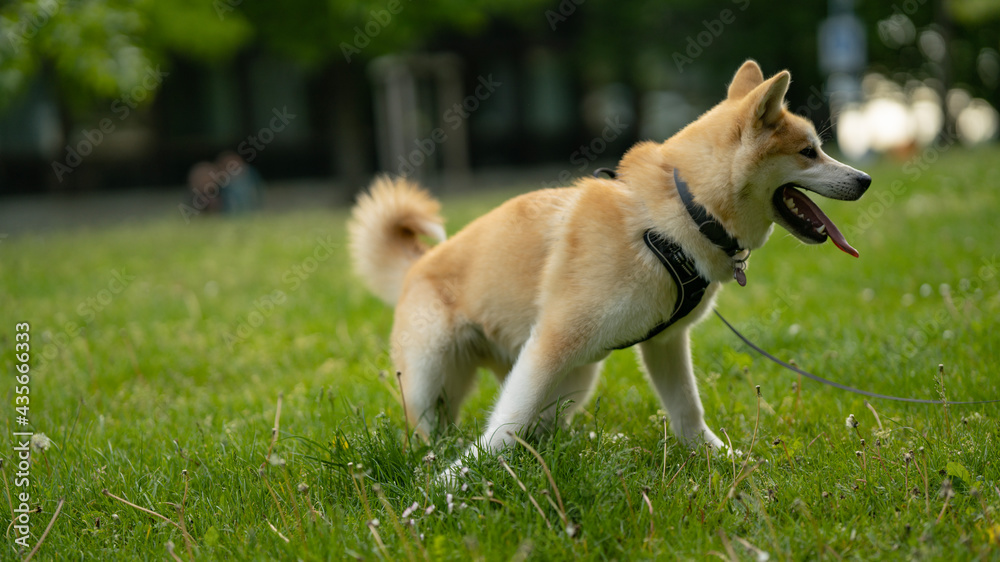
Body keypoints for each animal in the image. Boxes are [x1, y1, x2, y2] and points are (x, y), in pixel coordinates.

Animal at [348, 59, 872, 474]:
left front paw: (722, 461)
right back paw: (445, 456)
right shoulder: (554, 341)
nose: (865, 179)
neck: (684, 213)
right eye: (809, 151)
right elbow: (500, 429)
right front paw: (451, 483)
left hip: (572, 378)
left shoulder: (664, 343)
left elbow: (688, 413)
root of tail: (418, 264)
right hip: (433, 376)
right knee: (440, 429)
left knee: (538, 427)